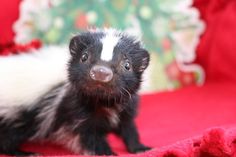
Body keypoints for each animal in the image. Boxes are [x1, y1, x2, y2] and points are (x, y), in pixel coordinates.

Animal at [0, 28, 151, 156]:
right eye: (84, 57)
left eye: (127, 65)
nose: (101, 72)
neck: (104, 101)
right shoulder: (73, 108)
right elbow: (90, 137)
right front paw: (107, 153)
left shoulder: (125, 105)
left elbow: (128, 128)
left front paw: (139, 148)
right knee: (7, 140)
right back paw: (25, 153)